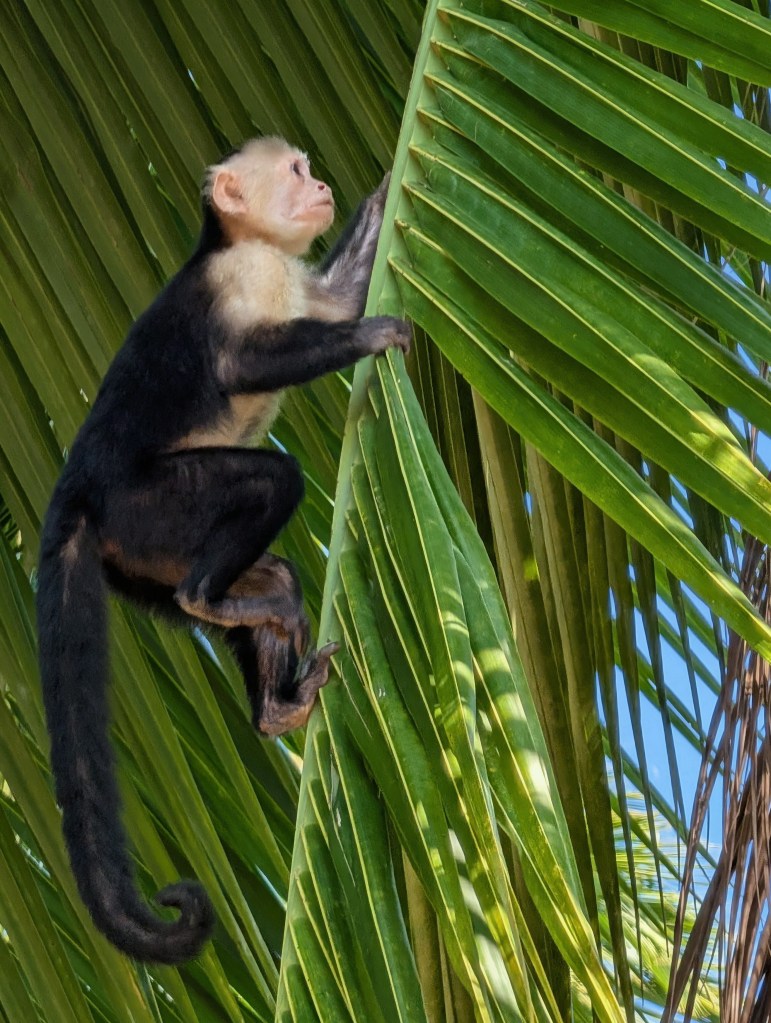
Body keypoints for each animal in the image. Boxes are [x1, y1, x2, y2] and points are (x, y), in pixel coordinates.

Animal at [36, 136, 410, 965]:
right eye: (297, 173)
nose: (321, 186)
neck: (243, 245)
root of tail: (78, 490)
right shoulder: (242, 276)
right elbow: (243, 365)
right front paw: (369, 337)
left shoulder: (290, 278)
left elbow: (335, 299)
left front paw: (385, 185)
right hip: (151, 508)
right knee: (269, 480)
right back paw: (208, 596)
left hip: (140, 556)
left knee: (276, 582)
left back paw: (272, 697)